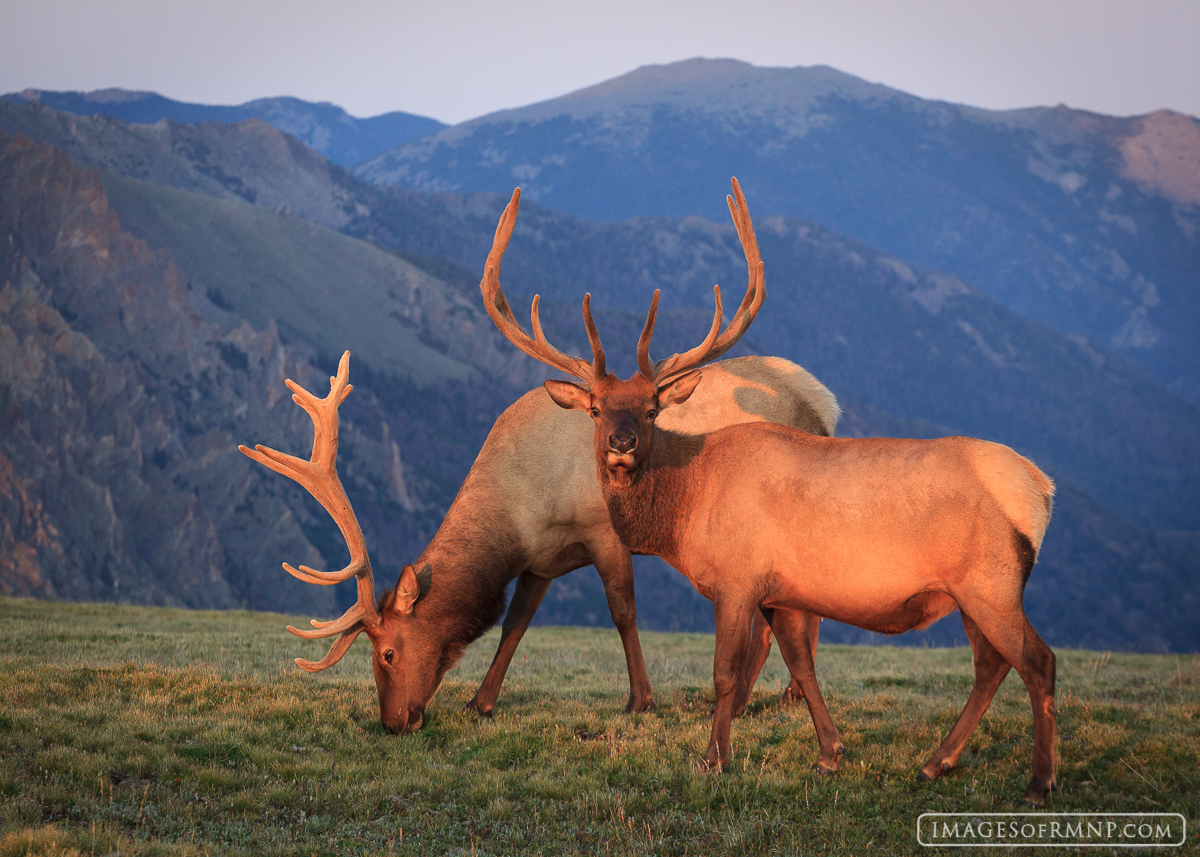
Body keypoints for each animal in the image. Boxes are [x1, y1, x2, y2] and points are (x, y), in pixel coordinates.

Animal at [234, 316, 835, 724]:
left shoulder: (604, 534)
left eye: (387, 652)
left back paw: (750, 700)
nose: (393, 722)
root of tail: (823, 404)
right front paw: (480, 701)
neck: (520, 510)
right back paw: (781, 694)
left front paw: (639, 700)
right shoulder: (540, 561)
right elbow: (515, 623)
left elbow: (623, 613)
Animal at [480, 176, 1060, 806]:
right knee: (991, 666)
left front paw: (713, 759)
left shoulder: (737, 579)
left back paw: (1038, 782)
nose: (621, 442)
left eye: (653, 407)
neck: (685, 512)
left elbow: (724, 673)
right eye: (594, 408)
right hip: (973, 590)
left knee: (1038, 661)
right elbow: (802, 664)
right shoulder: (779, 590)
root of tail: (1041, 490)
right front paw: (830, 755)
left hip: (990, 581)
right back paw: (937, 762)